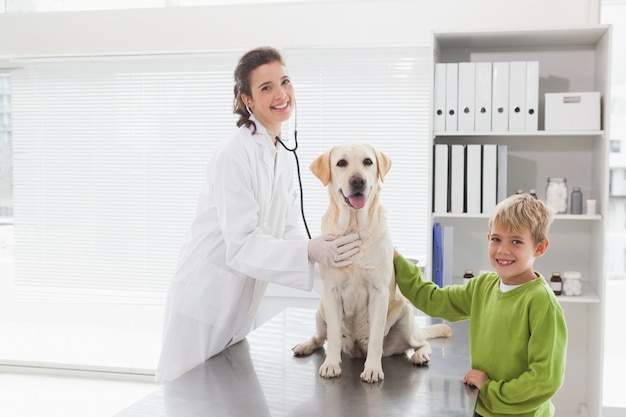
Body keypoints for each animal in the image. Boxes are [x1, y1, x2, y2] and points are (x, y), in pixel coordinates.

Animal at [290, 145, 450, 382]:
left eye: (368, 162)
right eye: (341, 163)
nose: (358, 180)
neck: (354, 227)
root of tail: (357, 350)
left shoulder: (378, 293)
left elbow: (375, 339)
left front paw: (373, 369)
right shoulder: (331, 293)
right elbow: (333, 337)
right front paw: (331, 365)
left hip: (405, 318)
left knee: (421, 342)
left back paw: (421, 356)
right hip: (321, 311)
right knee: (319, 338)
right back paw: (305, 345)